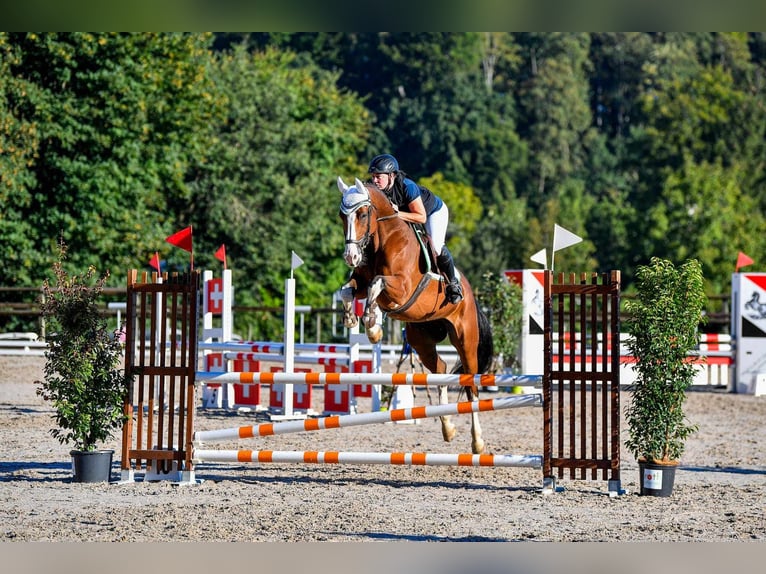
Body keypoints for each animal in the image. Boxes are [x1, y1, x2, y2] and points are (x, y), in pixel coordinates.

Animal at [336, 176, 494, 454]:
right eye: (341, 216)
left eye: (363, 214)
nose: (351, 257)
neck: (383, 241)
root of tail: (471, 294)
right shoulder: (361, 282)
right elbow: (347, 290)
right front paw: (352, 319)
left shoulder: (401, 287)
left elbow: (377, 284)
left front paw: (372, 326)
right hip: (421, 339)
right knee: (440, 368)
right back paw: (447, 428)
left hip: (465, 339)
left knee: (470, 385)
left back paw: (477, 442)